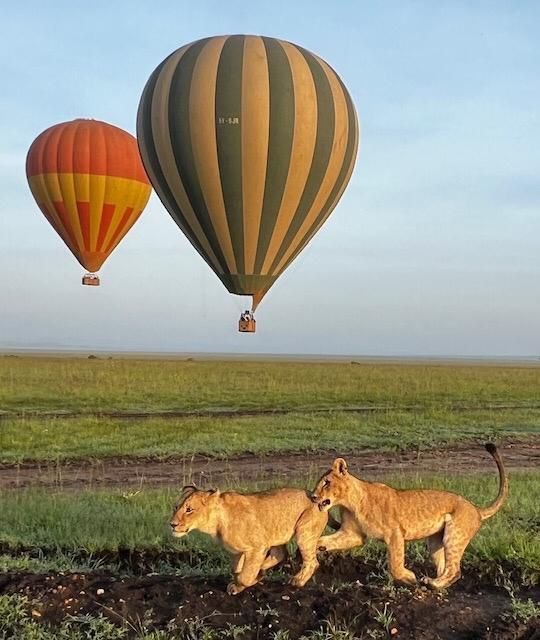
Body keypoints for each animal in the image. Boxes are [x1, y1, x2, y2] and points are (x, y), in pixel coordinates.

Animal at [170, 485, 329, 594]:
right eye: (176, 507)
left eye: (189, 509)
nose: (172, 524)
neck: (216, 524)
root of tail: (316, 498)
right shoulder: (235, 552)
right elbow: (236, 571)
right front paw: (239, 584)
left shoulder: (257, 547)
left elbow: (245, 576)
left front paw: (250, 580)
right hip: (275, 533)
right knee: (280, 554)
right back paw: (263, 568)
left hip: (304, 533)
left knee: (312, 562)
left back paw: (297, 581)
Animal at [310, 443, 508, 589]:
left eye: (326, 483)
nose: (312, 496)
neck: (349, 503)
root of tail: (475, 508)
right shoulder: (353, 534)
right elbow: (327, 540)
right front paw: (315, 548)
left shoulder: (394, 534)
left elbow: (395, 563)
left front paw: (409, 578)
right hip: (435, 541)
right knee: (444, 567)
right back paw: (434, 584)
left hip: (455, 535)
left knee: (455, 570)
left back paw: (433, 584)